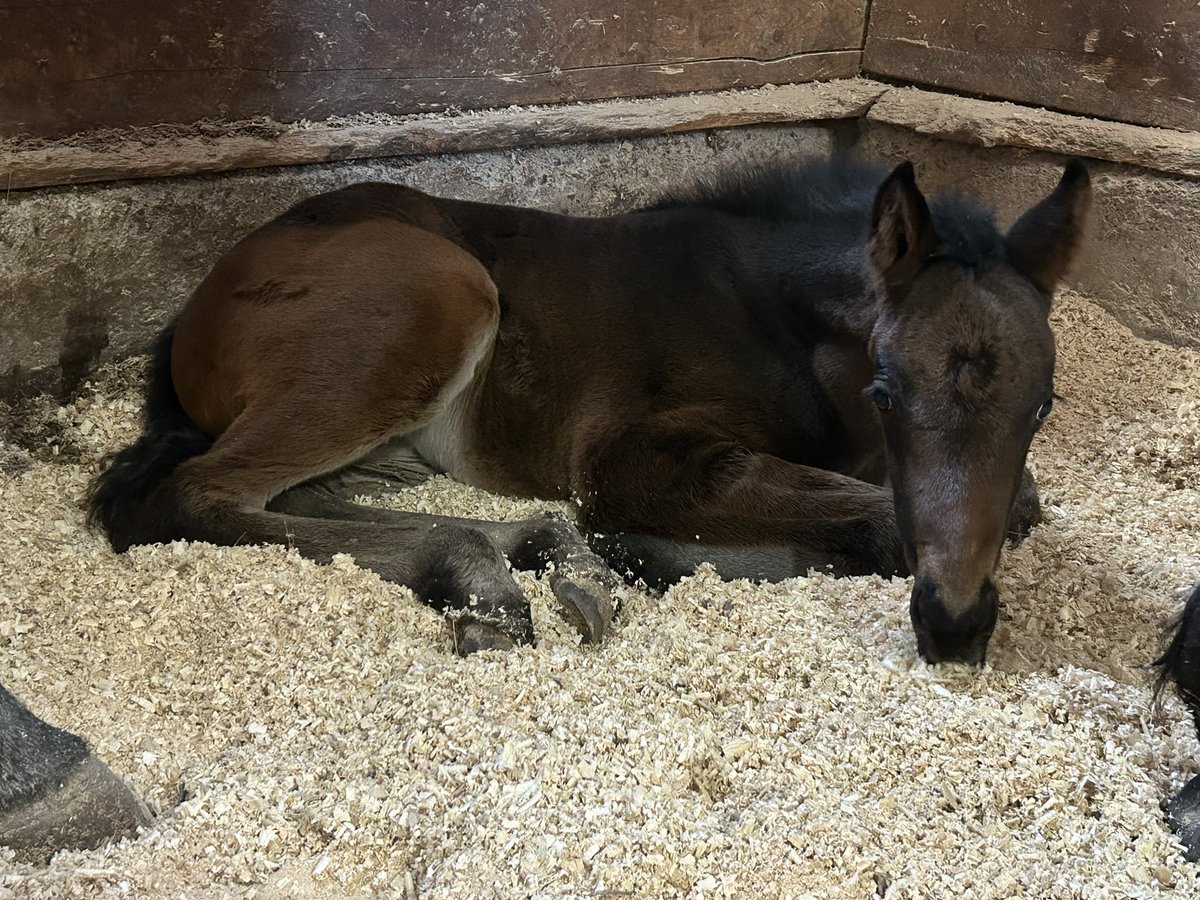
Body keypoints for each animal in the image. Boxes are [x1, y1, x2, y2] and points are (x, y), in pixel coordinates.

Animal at [88, 156, 1091, 665]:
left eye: (1043, 406)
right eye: (889, 390)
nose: (954, 627)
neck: (782, 325)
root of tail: (197, 307)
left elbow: (1011, 501)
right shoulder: (628, 456)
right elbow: (878, 521)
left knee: (293, 498)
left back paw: (521, 560)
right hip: (436, 293)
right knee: (196, 494)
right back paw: (495, 570)